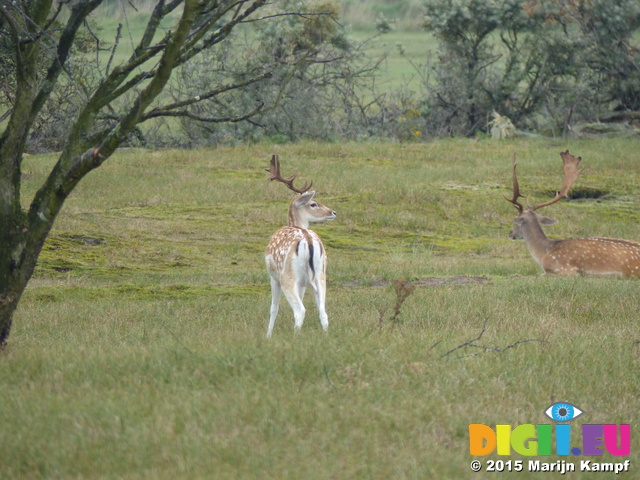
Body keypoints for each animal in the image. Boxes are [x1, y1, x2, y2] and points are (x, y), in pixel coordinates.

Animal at [264, 156, 338, 336]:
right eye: (313, 204)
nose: (333, 213)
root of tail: (308, 239)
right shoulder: (304, 283)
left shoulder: (273, 277)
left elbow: (273, 308)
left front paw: (268, 336)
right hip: (320, 276)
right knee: (323, 312)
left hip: (287, 277)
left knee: (300, 310)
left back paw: (294, 337)